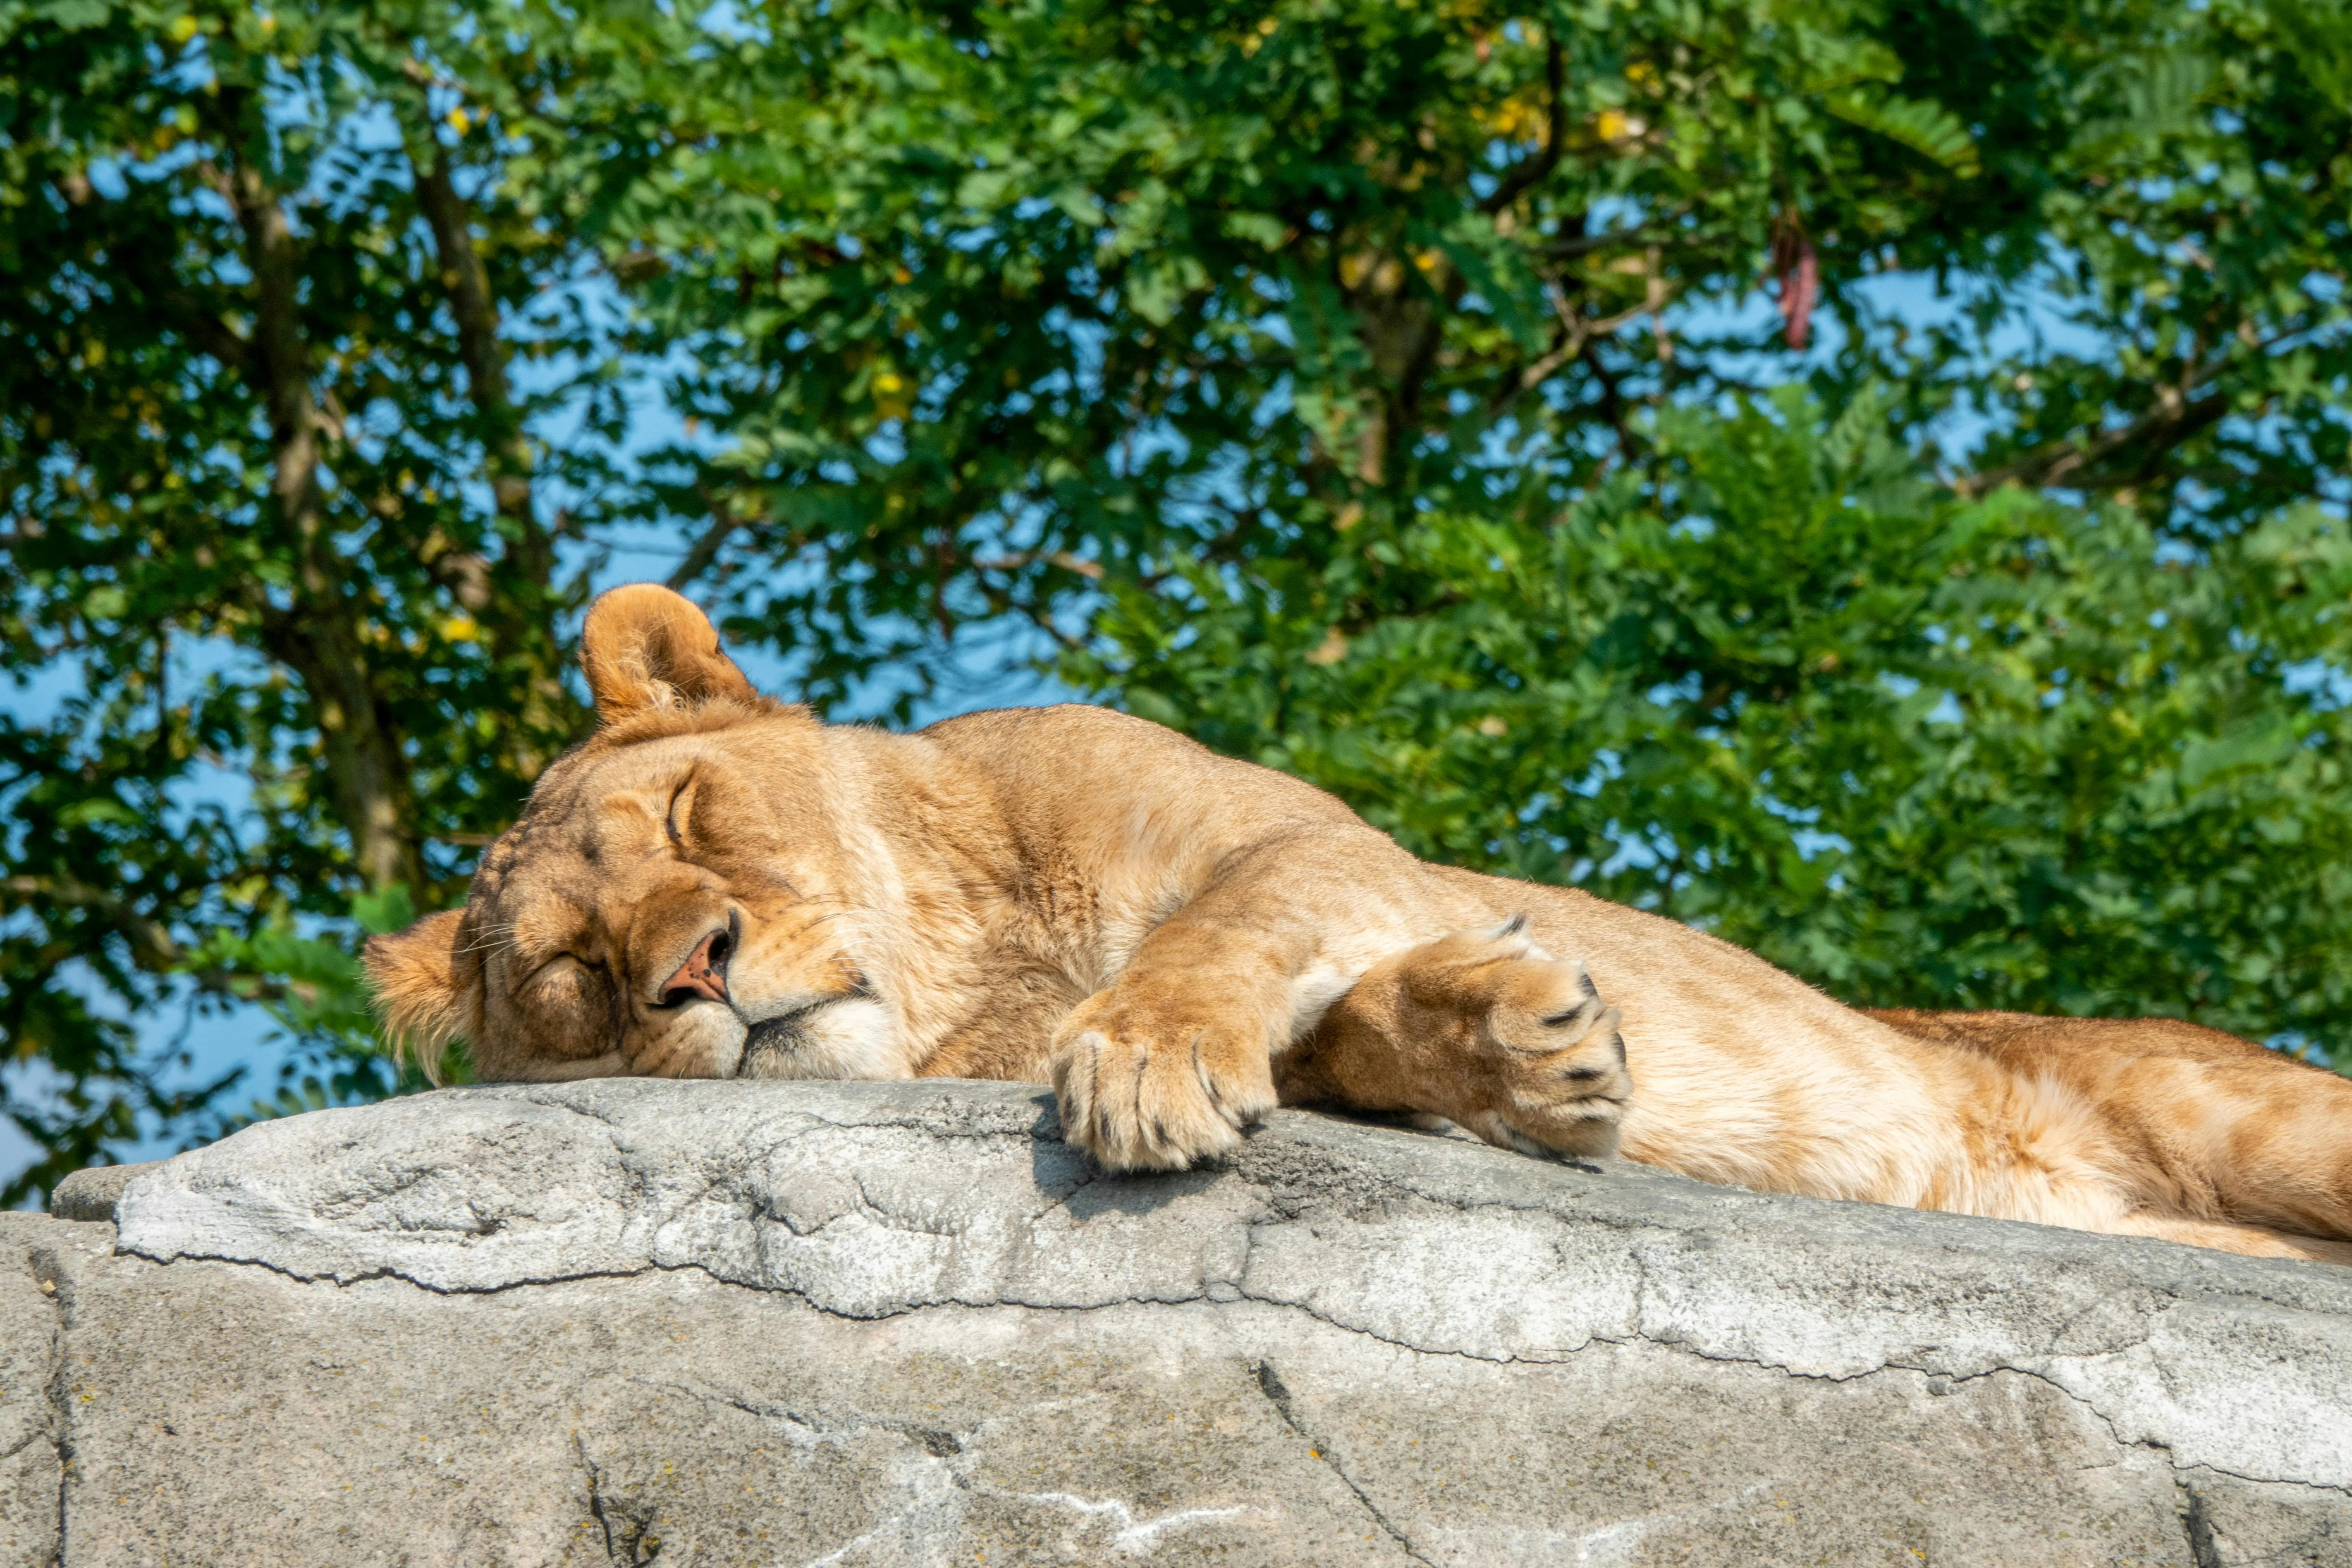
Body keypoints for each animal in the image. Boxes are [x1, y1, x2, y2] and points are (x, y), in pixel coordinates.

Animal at [364, 584, 2352, 1264]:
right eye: (574, 975)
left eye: (689, 818)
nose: (693, 969)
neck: (973, 992)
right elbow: (1343, 1037)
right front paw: (1533, 1059)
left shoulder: (1307, 832)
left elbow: (1231, 933)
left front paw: (1139, 1064)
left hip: (2259, 1118)